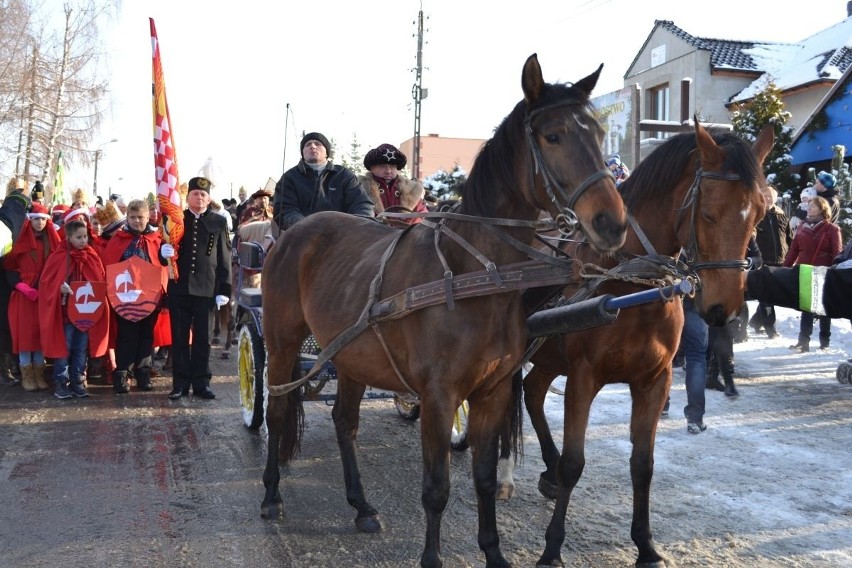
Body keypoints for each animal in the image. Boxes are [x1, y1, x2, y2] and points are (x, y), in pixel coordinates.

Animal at [262, 54, 628, 568]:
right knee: (276, 410)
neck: (478, 273)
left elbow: (484, 479)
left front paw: (494, 553)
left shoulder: (493, 392)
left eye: (597, 133)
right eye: (553, 135)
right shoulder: (438, 396)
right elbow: (437, 488)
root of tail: (297, 231)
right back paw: (271, 494)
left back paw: (360, 505)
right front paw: (432, 557)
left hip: (352, 352)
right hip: (280, 342)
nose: (611, 222)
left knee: (344, 423)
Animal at [524, 122, 772, 564]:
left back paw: (546, 468)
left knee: (531, 391)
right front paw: (552, 547)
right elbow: (574, 463)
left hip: (549, 357)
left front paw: (646, 544)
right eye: (708, 212)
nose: (722, 308)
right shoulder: (583, 379)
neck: (630, 286)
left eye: (759, 214)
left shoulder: (654, 380)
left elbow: (643, 464)